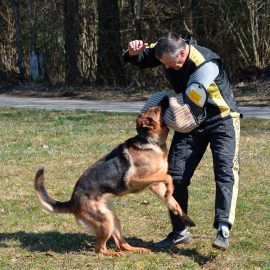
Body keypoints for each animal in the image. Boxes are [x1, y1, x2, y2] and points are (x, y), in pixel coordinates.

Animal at [34, 102, 195, 256]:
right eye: (156, 110)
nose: (167, 98)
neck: (150, 141)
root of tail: (72, 201)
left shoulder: (155, 185)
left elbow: (174, 201)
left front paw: (184, 216)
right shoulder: (135, 180)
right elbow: (167, 177)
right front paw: (170, 190)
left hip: (112, 218)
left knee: (121, 244)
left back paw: (137, 249)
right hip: (105, 221)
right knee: (100, 248)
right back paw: (114, 254)